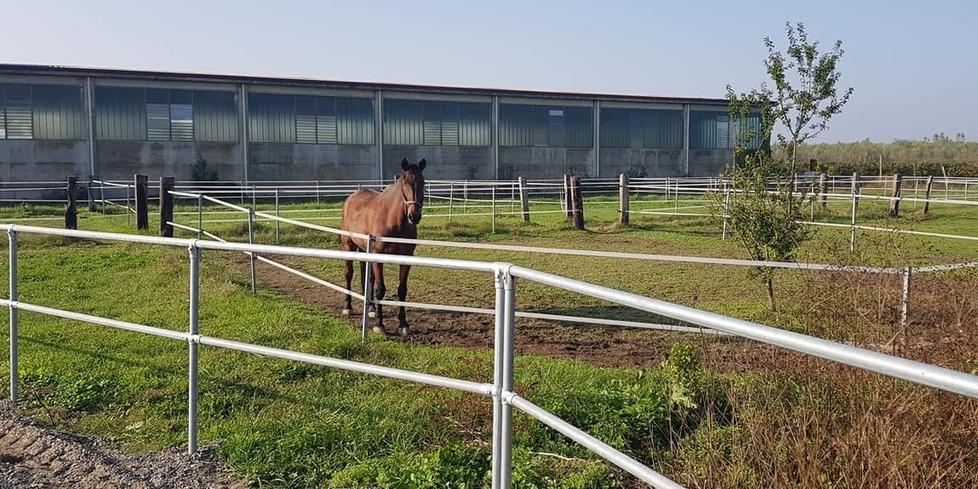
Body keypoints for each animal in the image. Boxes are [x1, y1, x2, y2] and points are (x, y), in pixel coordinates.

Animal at [340, 158, 426, 336]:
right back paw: (348, 307)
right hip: (348, 245)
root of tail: (351, 198)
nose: (414, 216)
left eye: (423, 182)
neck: (393, 220)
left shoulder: (406, 257)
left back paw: (371, 308)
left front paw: (403, 324)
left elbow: (402, 289)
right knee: (349, 274)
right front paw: (380, 325)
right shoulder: (378, 256)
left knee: (367, 278)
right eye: (404, 183)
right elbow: (380, 289)